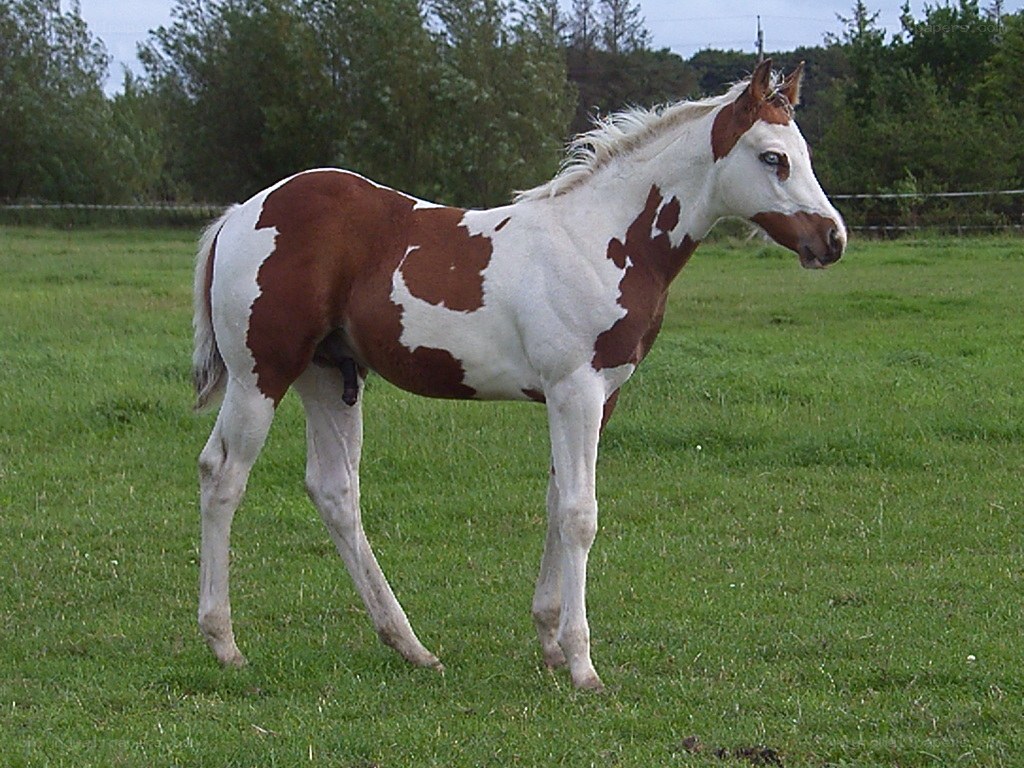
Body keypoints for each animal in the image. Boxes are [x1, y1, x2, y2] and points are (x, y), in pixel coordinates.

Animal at [191, 59, 845, 690]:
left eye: (805, 152)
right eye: (773, 157)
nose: (833, 240)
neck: (600, 239)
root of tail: (242, 213)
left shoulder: (595, 398)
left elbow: (557, 503)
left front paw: (550, 642)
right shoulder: (575, 390)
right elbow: (580, 514)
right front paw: (583, 665)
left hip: (330, 377)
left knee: (334, 492)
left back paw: (411, 646)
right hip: (260, 376)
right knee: (222, 476)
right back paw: (224, 645)